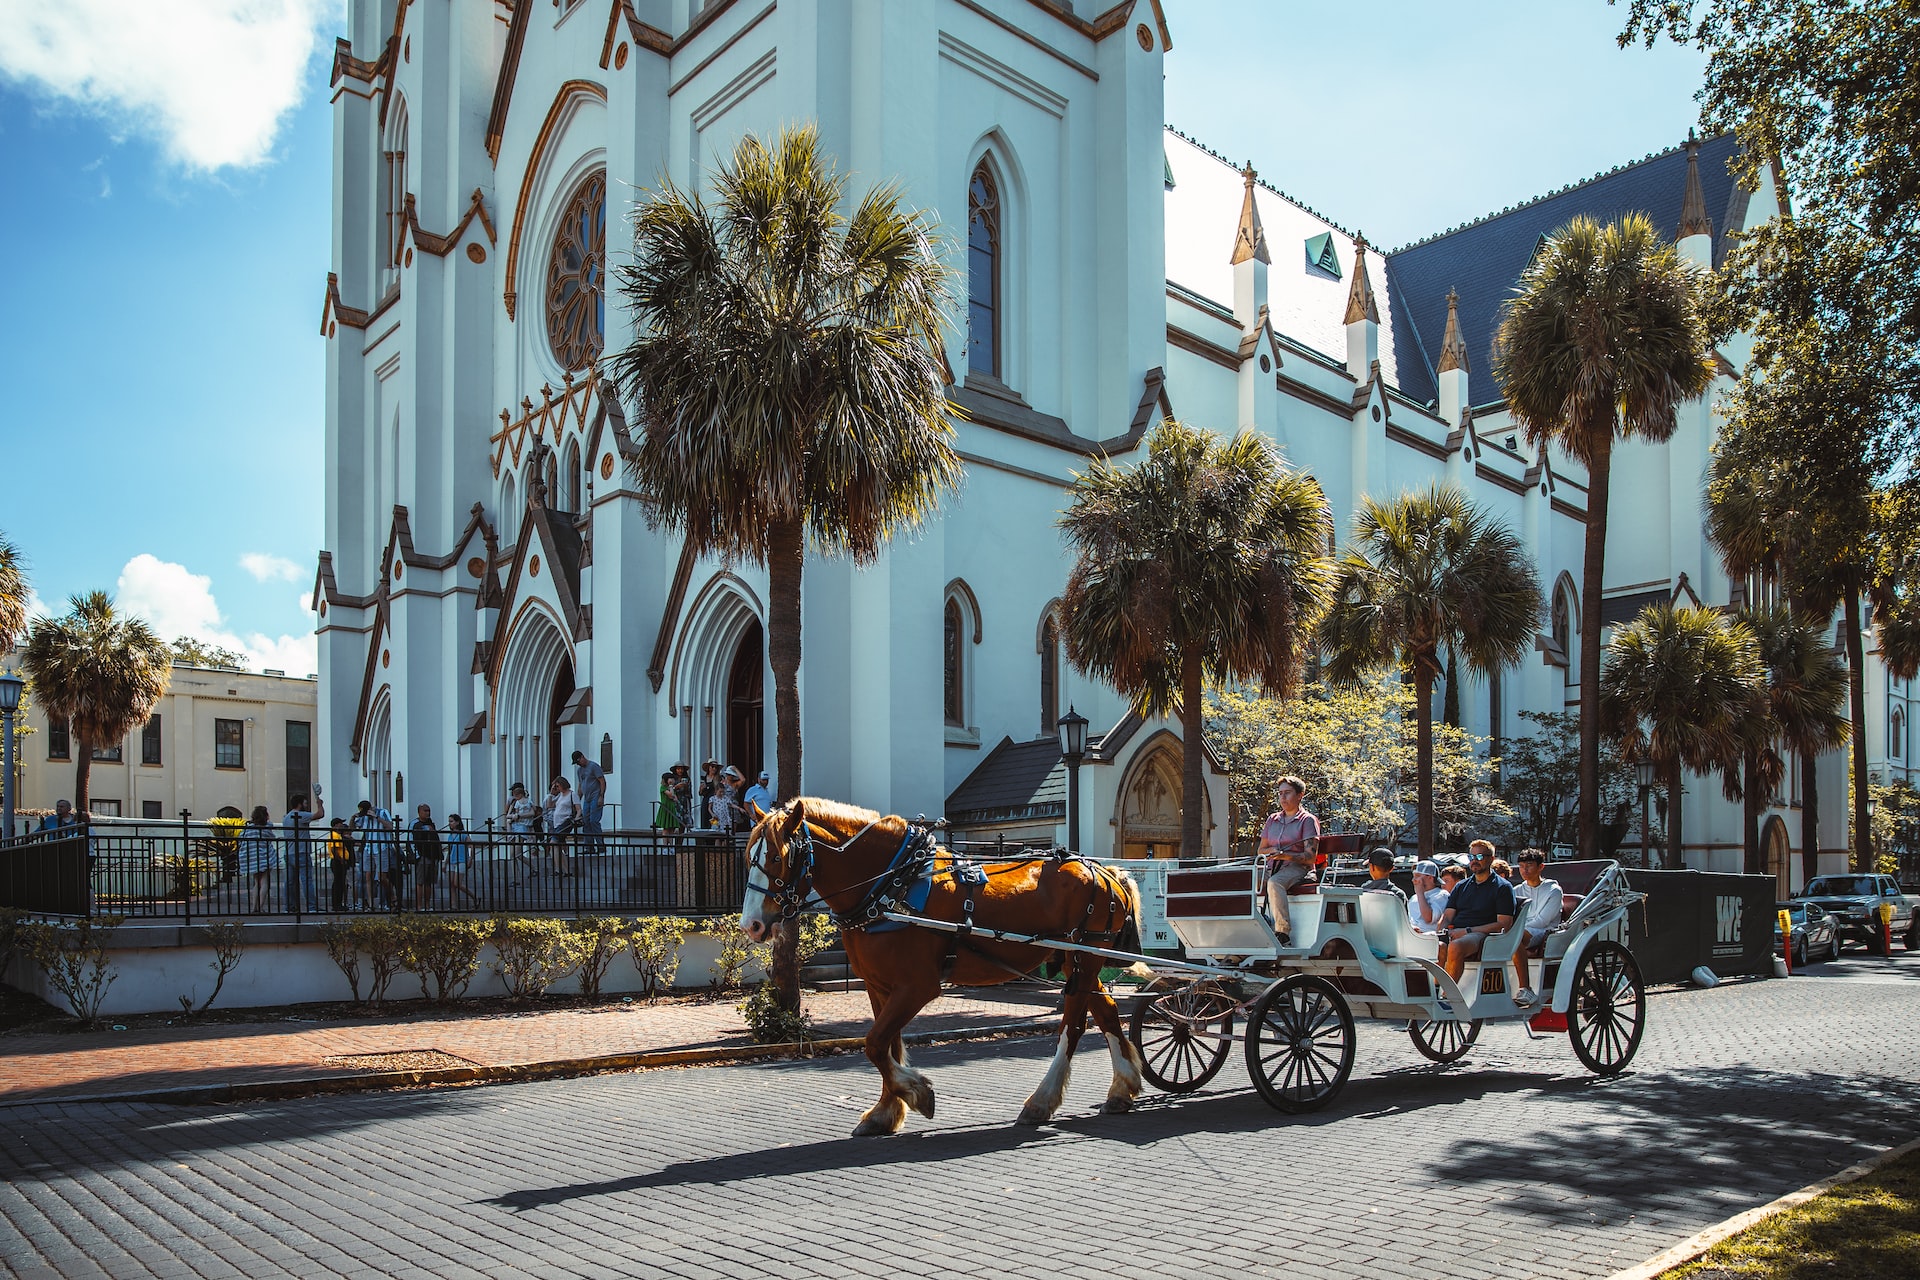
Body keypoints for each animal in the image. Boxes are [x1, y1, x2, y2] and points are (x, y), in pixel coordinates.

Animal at [744, 794, 1136, 1136]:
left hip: (1085, 956)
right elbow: (886, 1046)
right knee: (1106, 1011)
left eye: (777, 858)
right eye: (749, 856)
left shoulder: (917, 986)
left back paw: (1042, 1101)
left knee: (1072, 1025)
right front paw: (886, 1111)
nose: (752, 925)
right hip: (1078, 962)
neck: (889, 885)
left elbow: (874, 1044)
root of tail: (1107, 872)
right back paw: (1122, 1088)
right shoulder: (879, 985)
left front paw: (917, 1092)